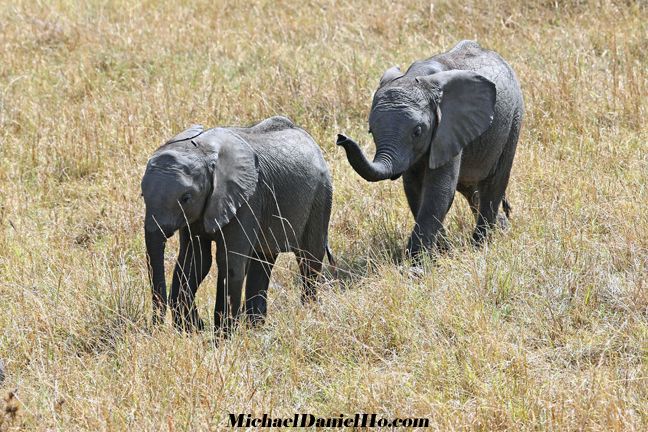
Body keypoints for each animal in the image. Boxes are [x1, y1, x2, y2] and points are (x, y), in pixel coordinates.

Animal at [142, 116, 334, 332]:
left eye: (186, 198)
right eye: (142, 195)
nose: (155, 327)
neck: (203, 151)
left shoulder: (247, 200)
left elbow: (229, 262)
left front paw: (220, 337)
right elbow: (195, 260)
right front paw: (191, 331)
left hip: (321, 197)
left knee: (309, 259)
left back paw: (307, 313)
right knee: (263, 260)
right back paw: (254, 328)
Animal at [336, 39, 524, 256]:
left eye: (417, 131)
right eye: (371, 131)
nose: (341, 138)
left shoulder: (448, 127)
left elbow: (439, 191)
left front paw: (415, 260)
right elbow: (414, 189)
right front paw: (440, 252)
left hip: (513, 120)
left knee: (494, 184)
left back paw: (480, 245)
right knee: (471, 188)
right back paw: (501, 230)